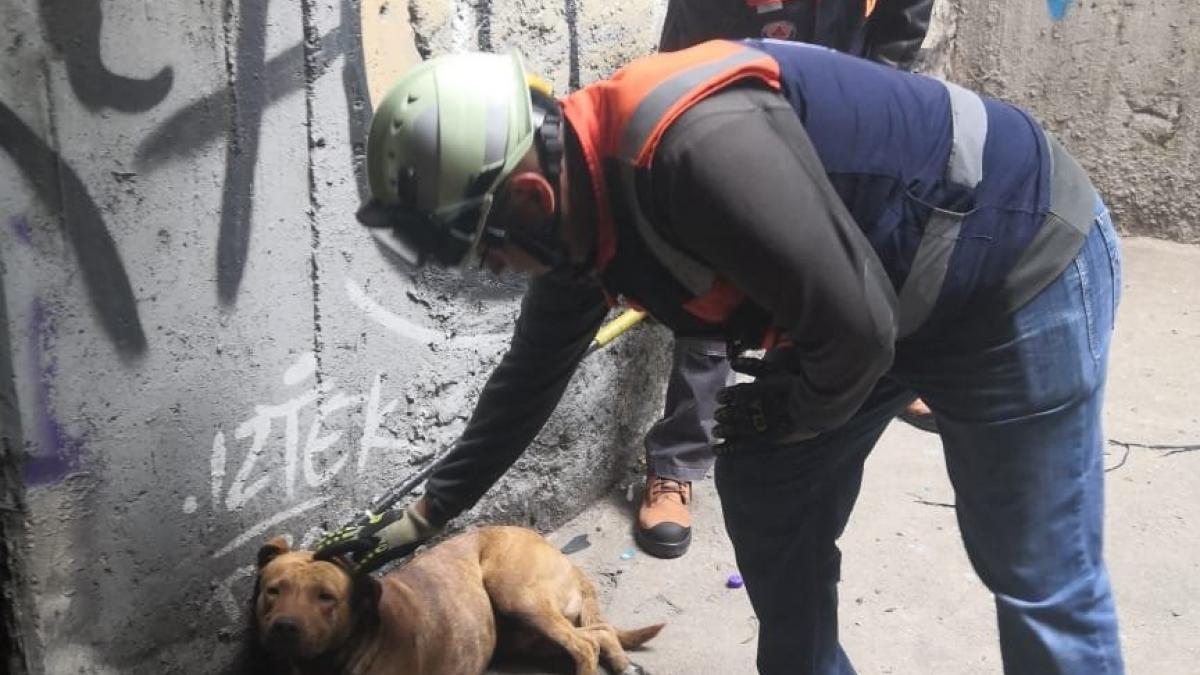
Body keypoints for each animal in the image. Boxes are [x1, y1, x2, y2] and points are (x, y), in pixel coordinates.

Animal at [237, 526, 662, 672]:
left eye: (326, 597)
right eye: (273, 590)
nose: (284, 628)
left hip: (517, 596)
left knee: (583, 645)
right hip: (522, 634)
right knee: (599, 631)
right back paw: (619, 660)